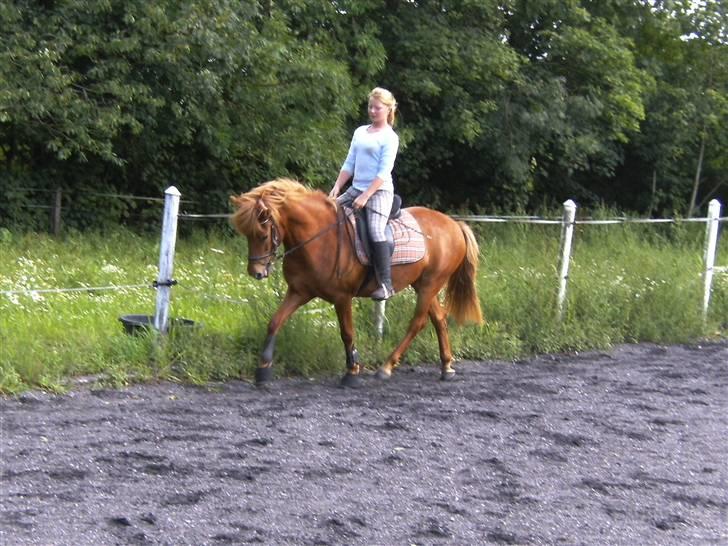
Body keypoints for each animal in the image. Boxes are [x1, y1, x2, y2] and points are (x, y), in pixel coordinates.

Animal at [232, 176, 484, 384]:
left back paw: (386, 367)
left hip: (431, 284)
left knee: (418, 322)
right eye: (247, 235)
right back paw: (446, 367)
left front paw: (352, 372)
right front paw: (263, 369)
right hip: (423, 284)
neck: (317, 238)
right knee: (439, 319)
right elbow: (275, 322)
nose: (256, 272)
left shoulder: (342, 297)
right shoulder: (299, 292)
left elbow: (347, 333)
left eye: (262, 235)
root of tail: (454, 224)